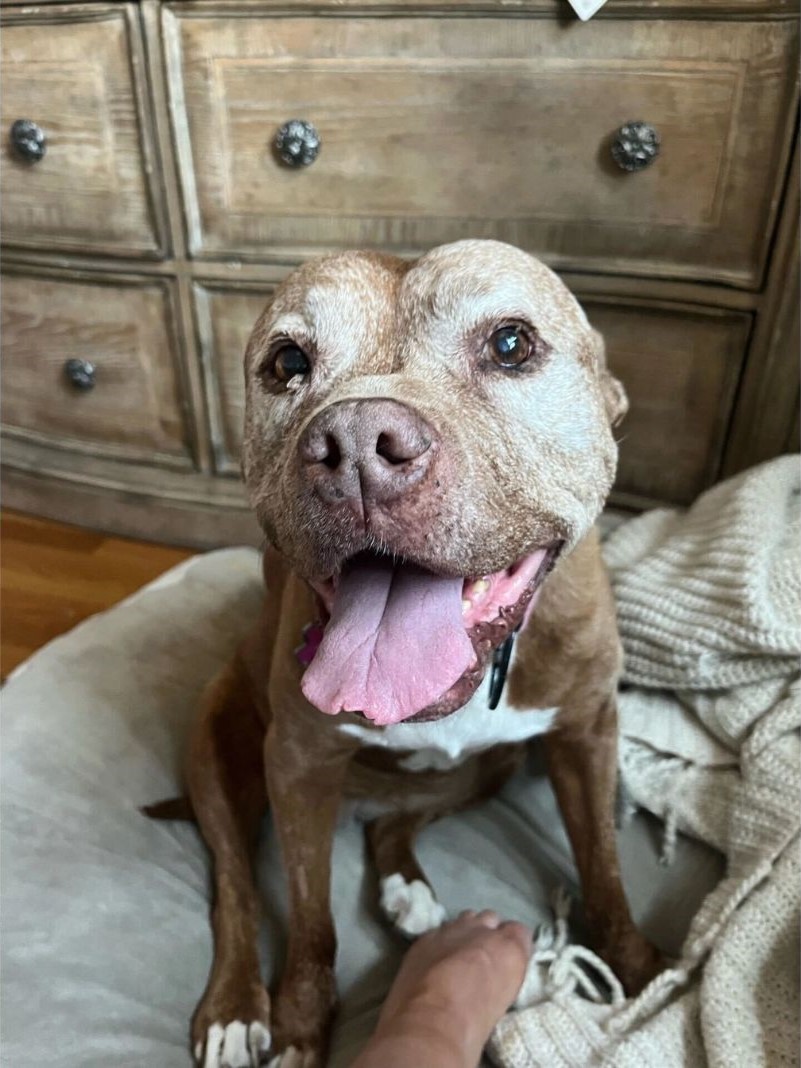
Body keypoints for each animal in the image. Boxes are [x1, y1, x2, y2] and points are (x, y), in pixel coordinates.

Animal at [166, 242, 662, 1068]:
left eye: (510, 343)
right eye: (287, 361)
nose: (357, 444)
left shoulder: (587, 733)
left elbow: (604, 868)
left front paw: (645, 973)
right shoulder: (297, 765)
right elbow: (309, 924)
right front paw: (301, 1028)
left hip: (492, 767)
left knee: (393, 822)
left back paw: (408, 889)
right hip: (217, 739)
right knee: (234, 881)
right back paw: (236, 1005)